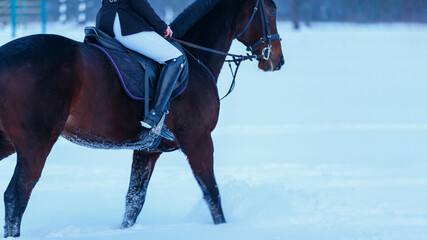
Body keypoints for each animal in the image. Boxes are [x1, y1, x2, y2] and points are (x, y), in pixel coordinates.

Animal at [0, 0, 284, 236]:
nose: (278, 60)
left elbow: (134, 201)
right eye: (271, 10)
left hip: (8, 143)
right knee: (17, 195)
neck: (196, 61)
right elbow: (212, 193)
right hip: (36, 144)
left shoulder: (147, 151)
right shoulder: (198, 140)